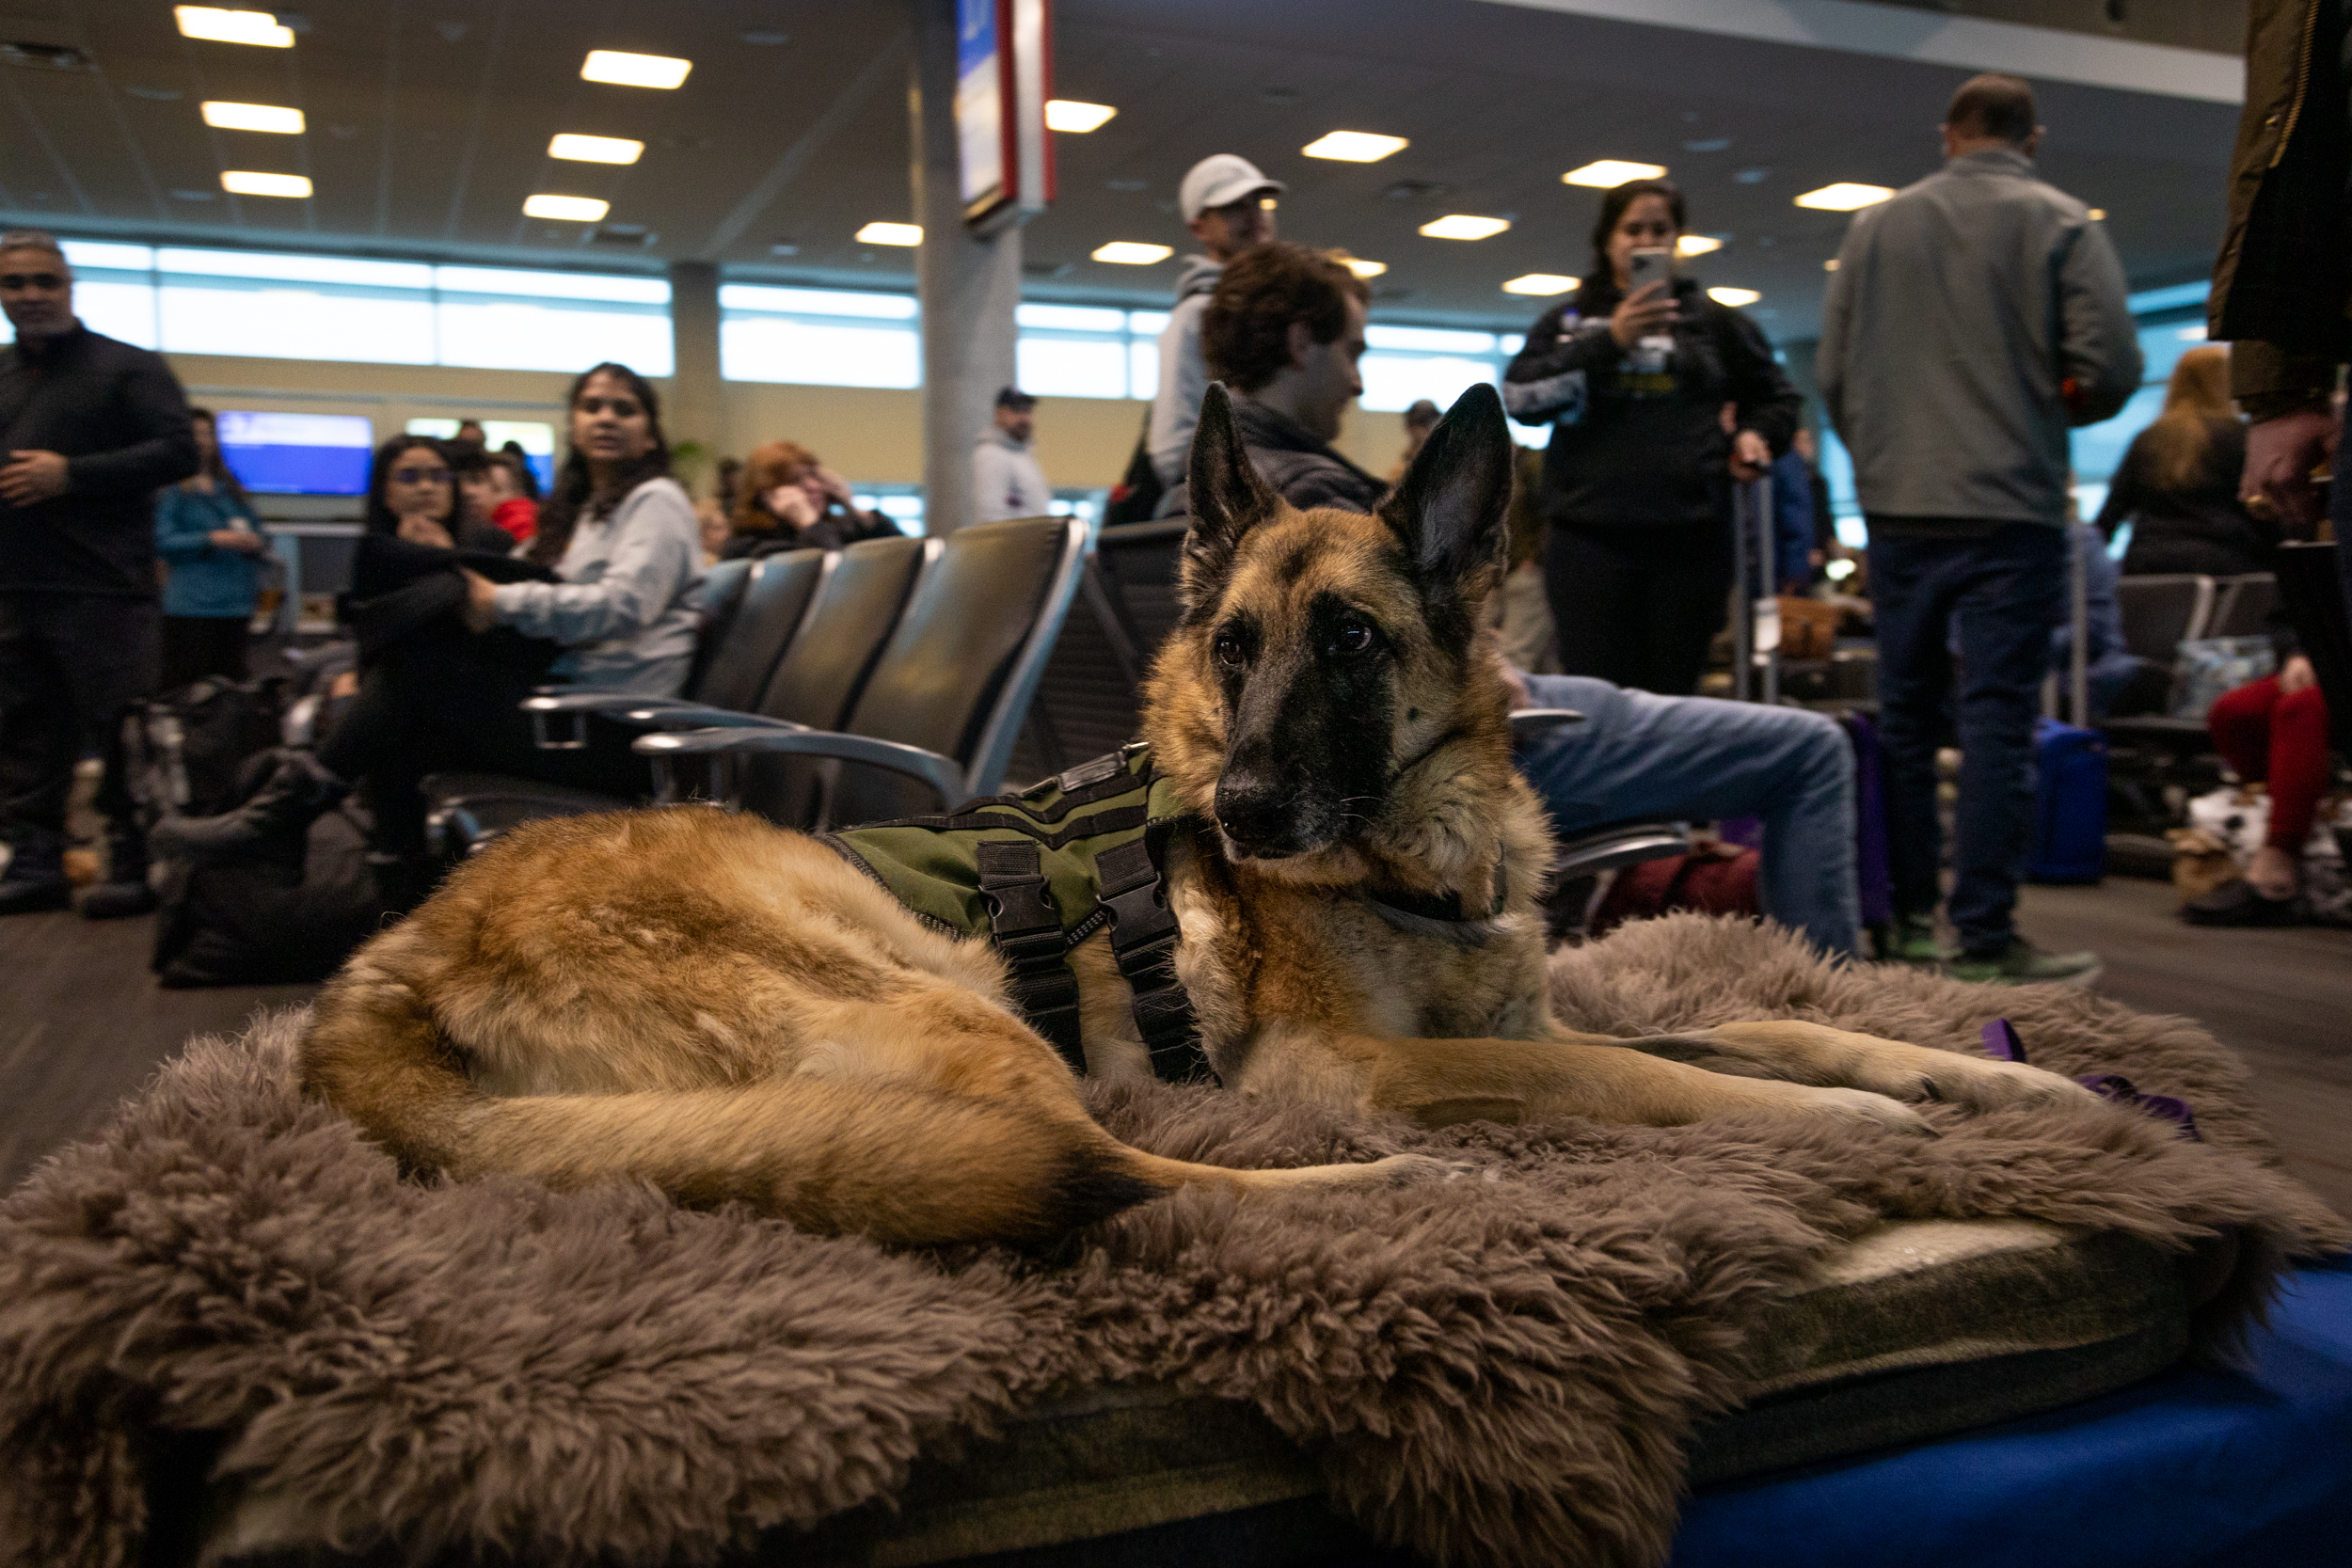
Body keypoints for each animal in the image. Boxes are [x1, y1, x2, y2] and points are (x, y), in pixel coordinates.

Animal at [298, 385, 2098, 1241]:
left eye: (1350, 641)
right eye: (1233, 648)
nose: (1233, 808)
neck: (1420, 854)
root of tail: (385, 970)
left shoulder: (1517, 1005)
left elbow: (1765, 1027)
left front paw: (1986, 1077)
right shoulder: (1370, 1063)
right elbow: (1626, 1071)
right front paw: (1843, 1123)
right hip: (943, 996)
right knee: (1101, 1166)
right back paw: (1397, 1189)